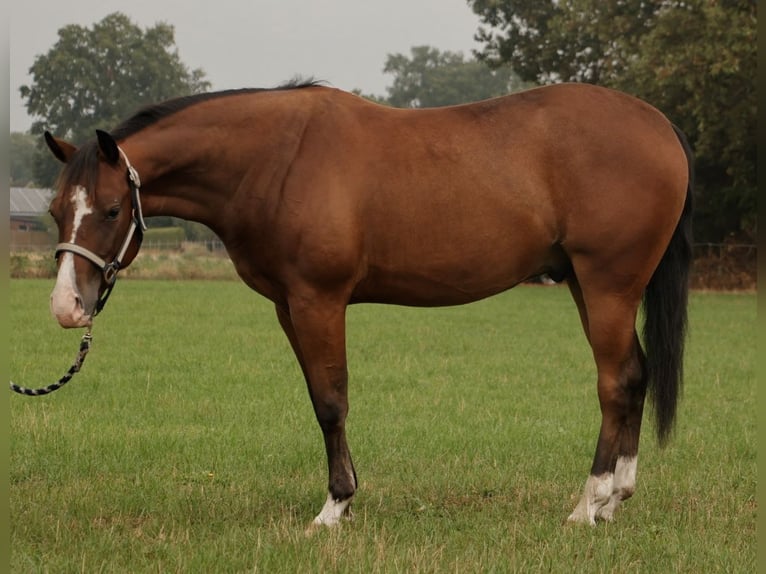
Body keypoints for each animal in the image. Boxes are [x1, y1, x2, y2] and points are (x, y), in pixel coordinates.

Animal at [43, 80, 693, 527]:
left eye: (111, 210)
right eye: (55, 211)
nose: (67, 307)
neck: (279, 159)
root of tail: (660, 126)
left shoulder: (319, 301)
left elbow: (333, 402)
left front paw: (334, 508)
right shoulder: (289, 306)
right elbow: (319, 397)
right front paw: (347, 497)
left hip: (607, 284)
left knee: (615, 382)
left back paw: (590, 503)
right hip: (587, 284)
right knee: (634, 376)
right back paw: (615, 499)